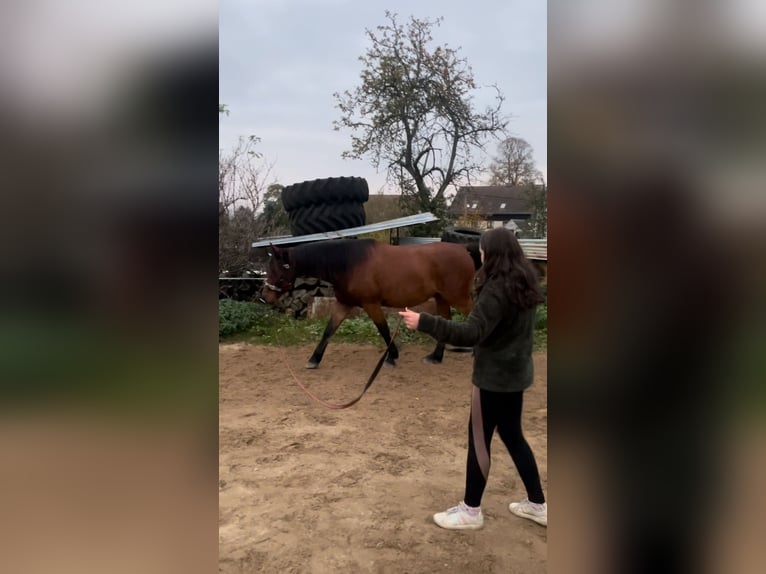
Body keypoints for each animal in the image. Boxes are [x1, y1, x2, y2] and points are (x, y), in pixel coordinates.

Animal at [264, 238, 480, 368]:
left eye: (278, 268)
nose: (265, 296)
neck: (349, 264)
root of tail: (463, 248)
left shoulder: (371, 304)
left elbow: (383, 329)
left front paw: (392, 356)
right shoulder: (343, 304)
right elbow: (329, 331)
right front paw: (314, 359)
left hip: (458, 298)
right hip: (441, 298)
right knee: (445, 322)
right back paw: (435, 357)